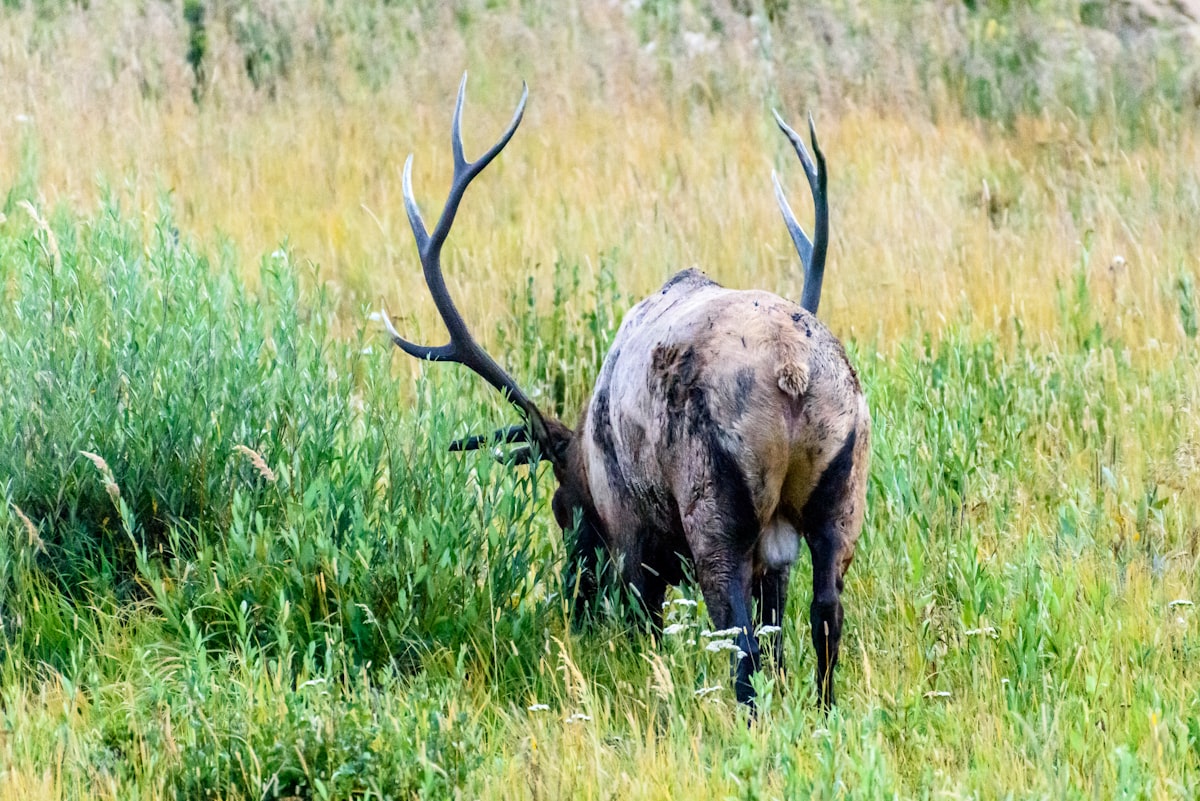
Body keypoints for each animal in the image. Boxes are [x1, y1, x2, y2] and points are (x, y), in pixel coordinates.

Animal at [384, 75, 870, 709]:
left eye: (563, 510)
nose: (575, 605)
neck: (589, 459)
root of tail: (793, 374)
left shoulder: (632, 531)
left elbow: (651, 630)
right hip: (844, 488)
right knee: (825, 615)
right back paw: (824, 711)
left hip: (713, 500)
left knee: (739, 641)